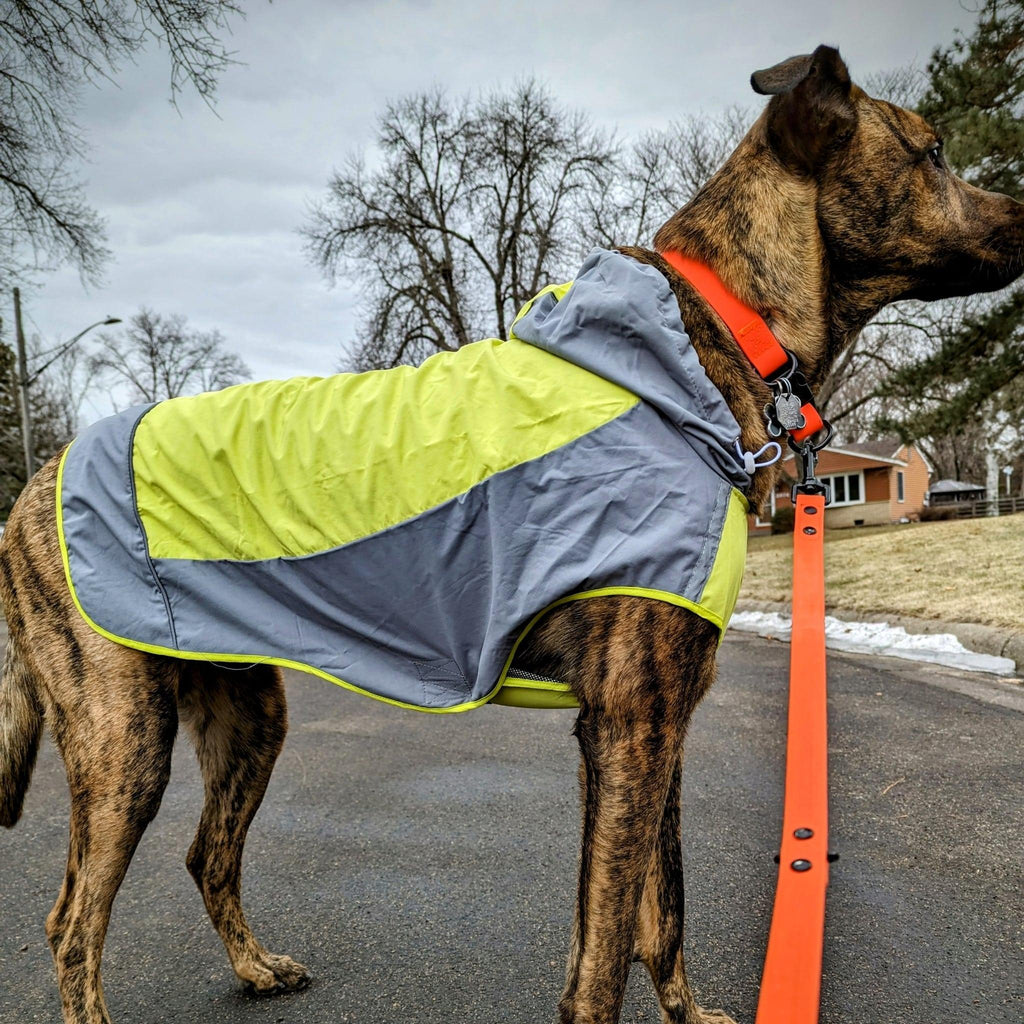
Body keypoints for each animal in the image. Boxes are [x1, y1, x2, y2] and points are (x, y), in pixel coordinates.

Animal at [2, 46, 1024, 1024]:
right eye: (934, 152)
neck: (711, 336)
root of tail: (35, 482)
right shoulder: (630, 722)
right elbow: (603, 958)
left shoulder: (662, 721)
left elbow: (665, 914)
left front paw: (692, 1015)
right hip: (123, 740)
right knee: (71, 923)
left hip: (248, 712)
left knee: (206, 855)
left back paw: (256, 968)